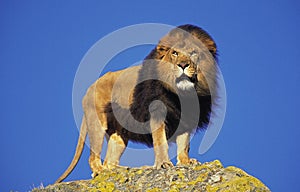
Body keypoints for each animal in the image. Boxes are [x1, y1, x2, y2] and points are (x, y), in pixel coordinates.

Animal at [55, 24, 218, 183]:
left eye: (193, 53)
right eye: (175, 53)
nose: (183, 65)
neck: (182, 94)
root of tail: (89, 89)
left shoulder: (186, 118)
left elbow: (184, 144)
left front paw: (186, 162)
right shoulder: (157, 113)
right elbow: (160, 141)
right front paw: (163, 164)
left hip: (119, 134)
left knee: (110, 161)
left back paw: (121, 170)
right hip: (97, 122)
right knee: (93, 157)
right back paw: (100, 171)